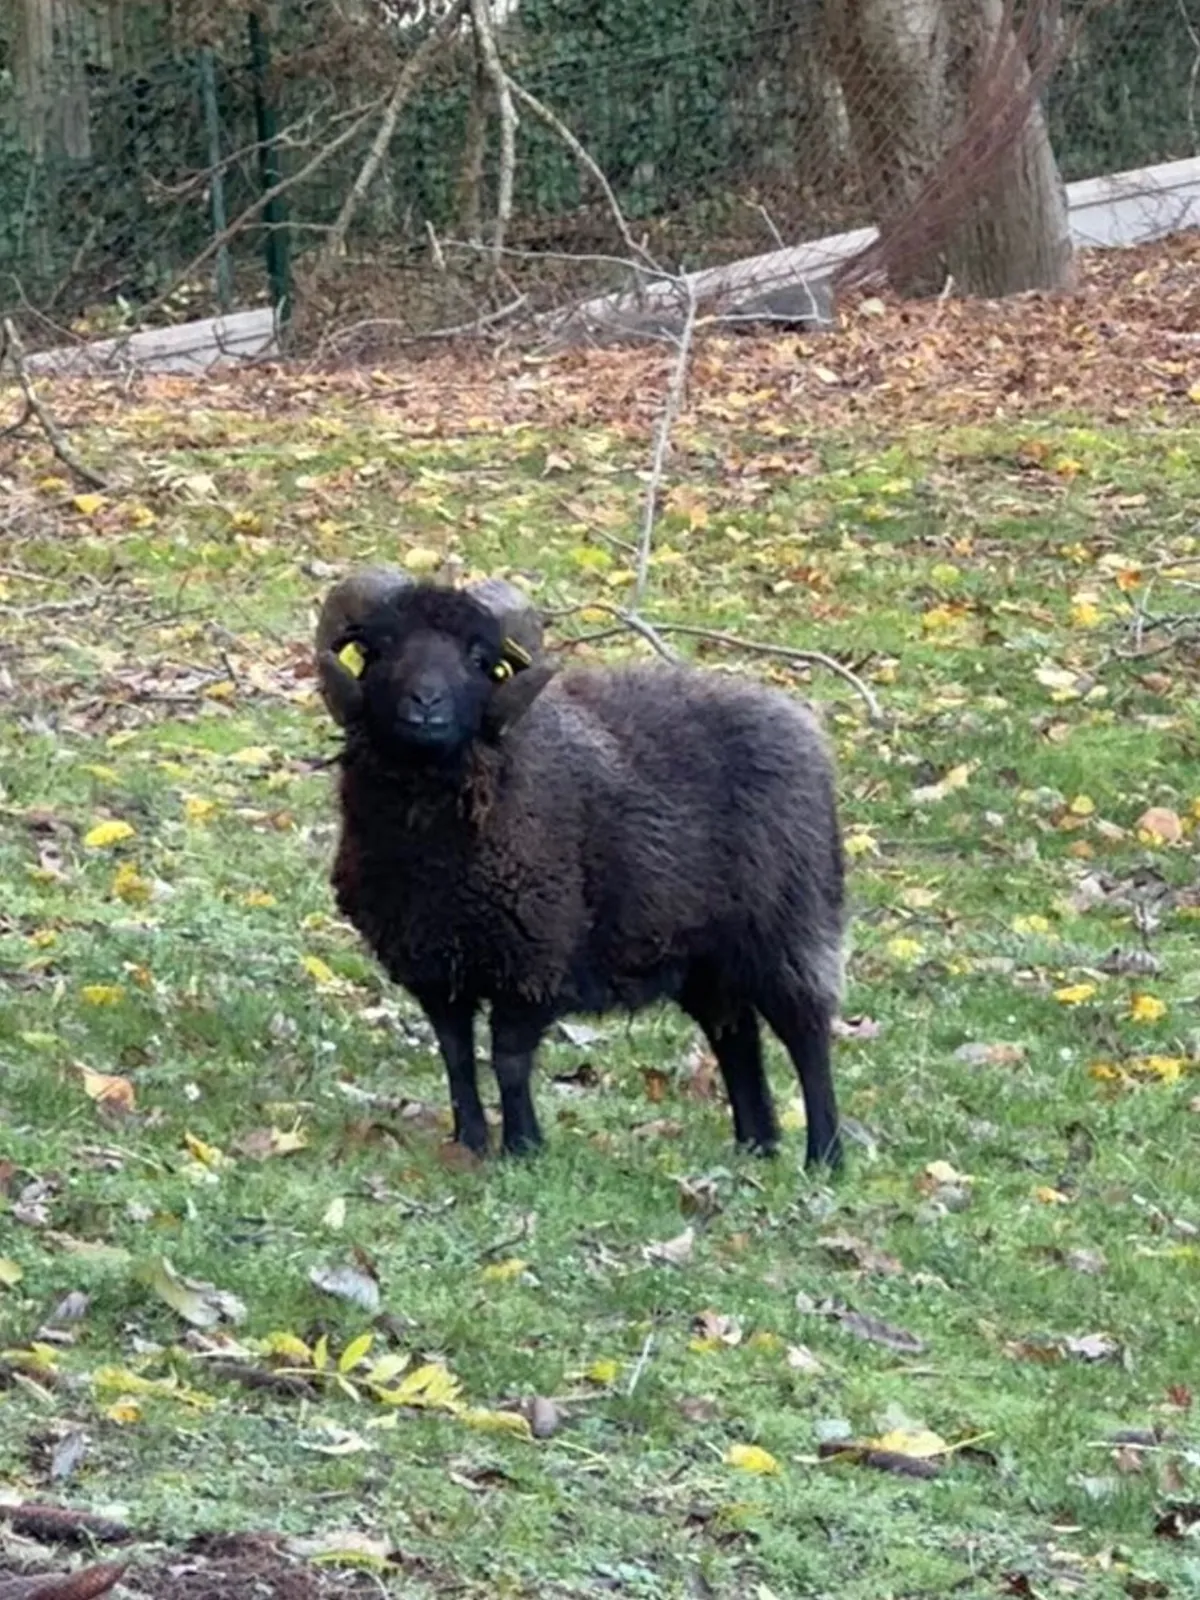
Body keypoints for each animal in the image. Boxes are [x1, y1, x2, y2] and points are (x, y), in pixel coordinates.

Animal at [316, 570, 846, 1170]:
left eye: (479, 658)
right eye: (380, 648)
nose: (425, 704)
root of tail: (800, 724)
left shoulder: (532, 959)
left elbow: (508, 1059)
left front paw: (522, 1148)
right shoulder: (434, 967)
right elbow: (456, 1057)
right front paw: (470, 1143)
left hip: (788, 925)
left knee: (806, 1034)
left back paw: (824, 1157)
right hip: (706, 955)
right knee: (735, 1036)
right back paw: (755, 1146)